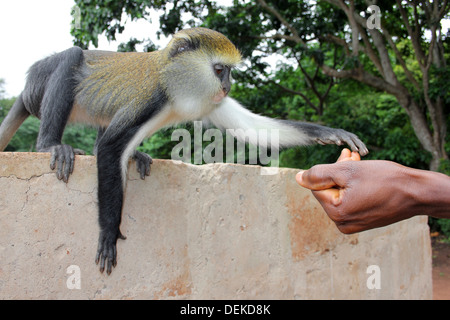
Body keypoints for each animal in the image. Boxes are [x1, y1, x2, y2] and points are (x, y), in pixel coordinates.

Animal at [0, 27, 368, 276]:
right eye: (220, 69)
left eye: (229, 72)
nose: (228, 86)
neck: (173, 84)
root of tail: (25, 89)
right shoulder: (153, 98)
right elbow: (109, 149)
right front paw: (108, 232)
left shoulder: (210, 101)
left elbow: (256, 129)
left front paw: (331, 133)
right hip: (39, 82)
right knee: (72, 56)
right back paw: (50, 143)